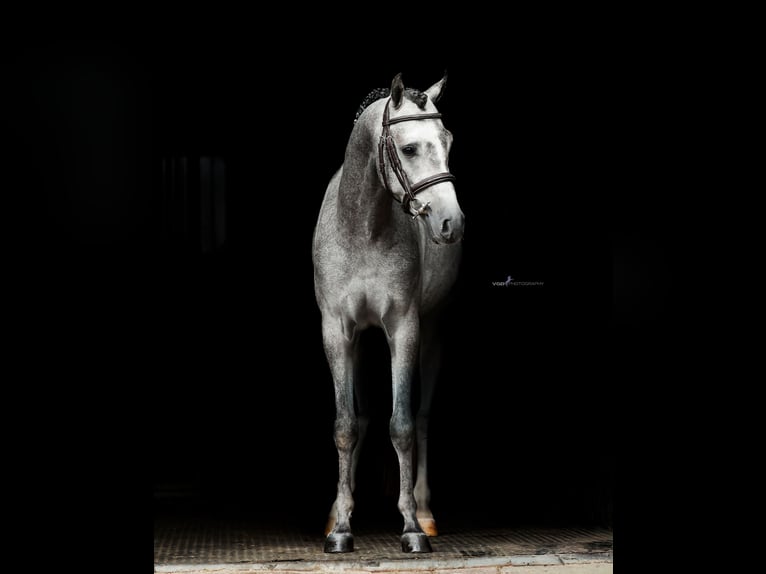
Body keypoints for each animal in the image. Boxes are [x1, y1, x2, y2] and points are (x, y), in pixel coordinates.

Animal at [312, 73, 465, 554]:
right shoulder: (337, 332)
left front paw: (411, 526)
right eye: (410, 148)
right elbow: (345, 425)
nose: (452, 222)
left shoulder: (405, 328)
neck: (362, 228)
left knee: (423, 417)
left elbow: (402, 424)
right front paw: (341, 528)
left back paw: (426, 512)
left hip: (433, 333)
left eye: (447, 141)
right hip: (360, 342)